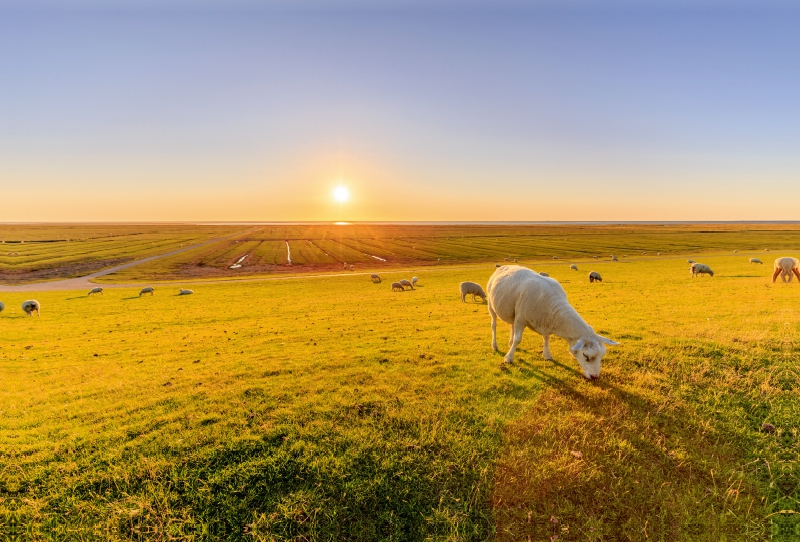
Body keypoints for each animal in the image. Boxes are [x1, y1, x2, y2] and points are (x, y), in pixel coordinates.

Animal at [484, 266, 620, 380]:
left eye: (602, 356)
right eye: (585, 355)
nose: (595, 377)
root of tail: (503, 266)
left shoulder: (546, 321)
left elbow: (546, 339)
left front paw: (547, 355)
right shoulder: (521, 319)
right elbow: (518, 339)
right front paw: (509, 358)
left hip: (513, 313)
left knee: (512, 326)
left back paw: (510, 343)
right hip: (491, 305)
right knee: (494, 325)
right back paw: (495, 346)